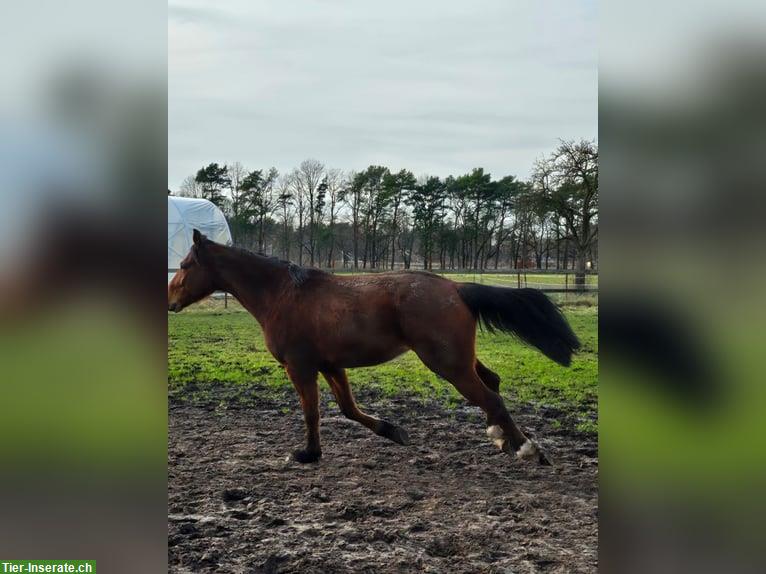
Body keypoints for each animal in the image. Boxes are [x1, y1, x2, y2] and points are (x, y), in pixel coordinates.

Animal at [166, 232, 576, 466]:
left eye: (185, 264)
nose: (170, 300)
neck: (283, 294)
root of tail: (456, 287)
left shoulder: (300, 366)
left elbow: (312, 413)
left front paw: (307, 454)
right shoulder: (330, 365)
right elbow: (348, 409)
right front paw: (393, 430)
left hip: (448, 364)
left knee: (491, 397)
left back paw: (529, 450)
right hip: (461, 360)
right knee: (493, 383)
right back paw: (505, 440)